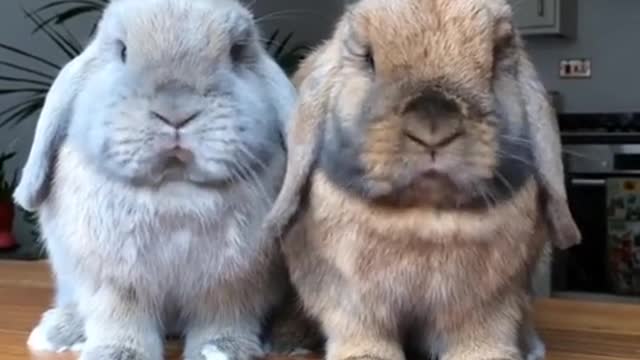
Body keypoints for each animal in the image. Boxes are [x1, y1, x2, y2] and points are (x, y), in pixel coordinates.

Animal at [13, 0, 296, 360]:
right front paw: (117, 353)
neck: (175, 191)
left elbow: (225, 318)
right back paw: (58, 331)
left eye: (237, 51)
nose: (176, 110)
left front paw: (222, 350)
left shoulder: (236, 282)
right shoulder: (114, 280)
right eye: (122, 50)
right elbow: (120, 318)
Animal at [262, 0, 584, 360]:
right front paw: (365, 356)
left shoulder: (490, 300)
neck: (424, 214)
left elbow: (483, 331)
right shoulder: (347, 295)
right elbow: (360, 328)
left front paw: (486, 355)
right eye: (368, 58)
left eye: (497, 57)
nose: (433, 126)